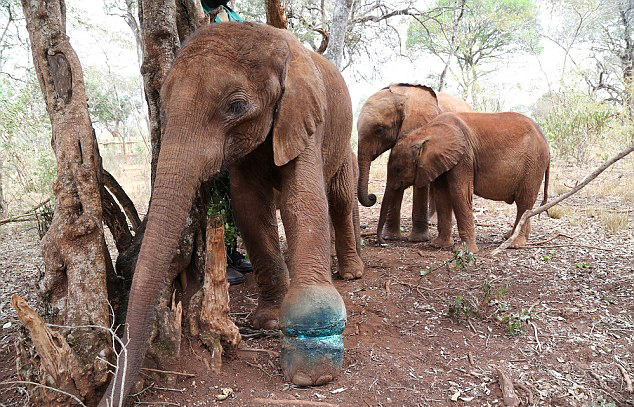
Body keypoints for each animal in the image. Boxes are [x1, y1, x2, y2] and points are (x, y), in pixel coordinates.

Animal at [100, 22, 366, 407]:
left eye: (236, 107)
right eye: (162, 107)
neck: (275, 42)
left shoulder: (304, 118)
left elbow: (302, 199)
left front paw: (312, 371)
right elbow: (249, 205)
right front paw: (268, 322)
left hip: (344, 137)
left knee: (341, 198)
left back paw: (352, 273)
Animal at [376, 111, 548, 252]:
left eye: (398, 169)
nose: (383, 242)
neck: (426, 132)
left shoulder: (463, 157)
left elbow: (459, 193)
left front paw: (466, 251)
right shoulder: (440, 161)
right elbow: (442, 195)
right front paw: (438, 245)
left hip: (533, 165)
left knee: (524, 202)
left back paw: (514, 244)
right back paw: (509, 237)